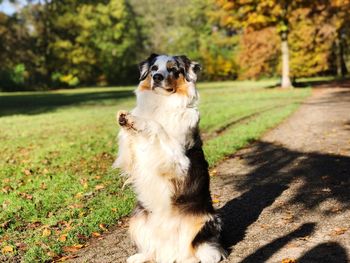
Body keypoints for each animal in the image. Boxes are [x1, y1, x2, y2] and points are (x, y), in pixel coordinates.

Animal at [113, 54, 226, 262]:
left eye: (173, 69)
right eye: (154, 68)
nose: (157, 77)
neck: (161, 103)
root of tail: (169, 252)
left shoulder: (179, 161)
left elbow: (157, 127)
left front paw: (139, 122)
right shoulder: (131, 157)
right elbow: (127, 140)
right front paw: (127, 119)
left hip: (206, 224)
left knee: (197, 253)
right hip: (138, 217)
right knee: (153, 250)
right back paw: (140, 257)